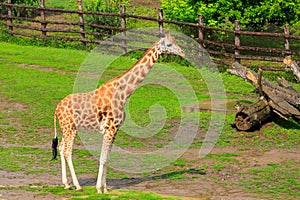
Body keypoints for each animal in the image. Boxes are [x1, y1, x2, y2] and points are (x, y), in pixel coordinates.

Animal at [50, 33, 184, 194]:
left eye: (175, 41)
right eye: (169, 45)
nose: (183, 52)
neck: (123, 94)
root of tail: (57, 109)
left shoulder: (115, 130)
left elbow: (107, 158)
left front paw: (106, 188)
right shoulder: (110, 128)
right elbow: (103, 158)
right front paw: (99, 189)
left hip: (67, 128)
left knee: (61, 147)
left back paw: (66, 184)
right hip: (70, 127)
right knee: (67, 151)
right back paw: (77, 185)